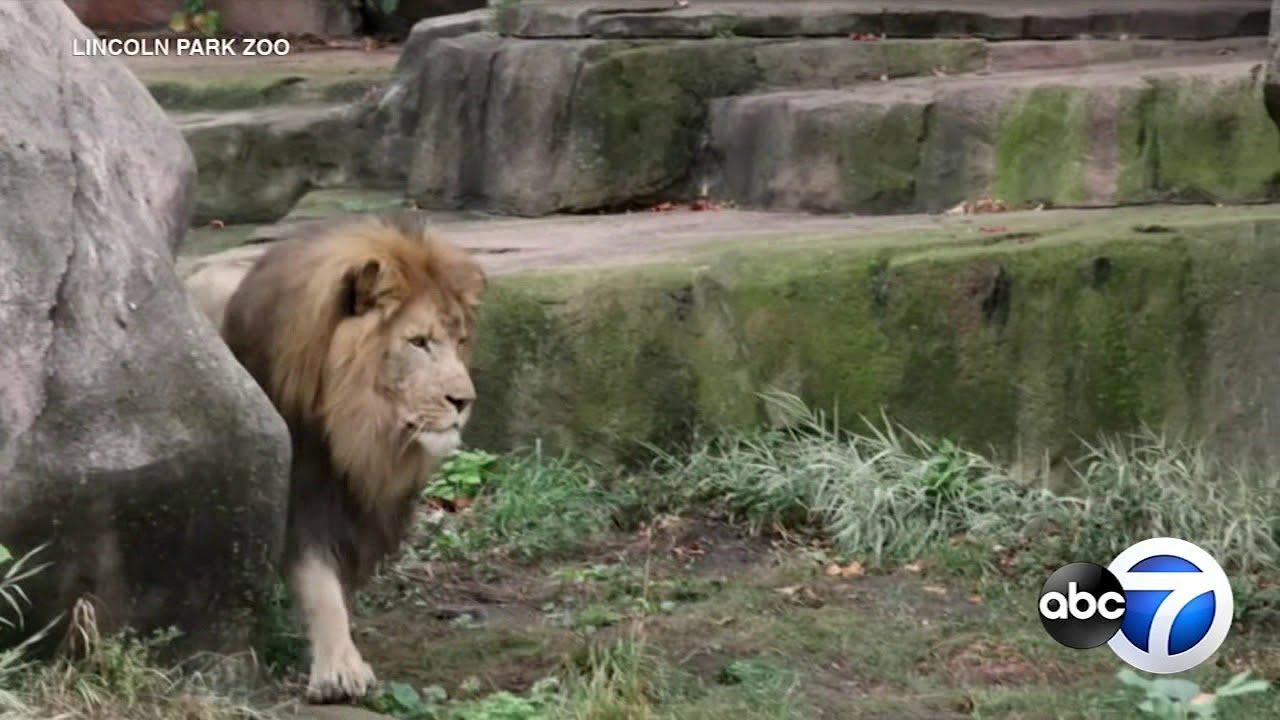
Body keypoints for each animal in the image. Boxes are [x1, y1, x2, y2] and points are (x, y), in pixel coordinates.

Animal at [212, 212, 486, 703]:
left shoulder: (361, 510)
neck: (355, 429)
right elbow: (319, 584)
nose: (464, 401)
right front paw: (339, 670)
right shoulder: (300, 498)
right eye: (419, 342)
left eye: (460, 341)